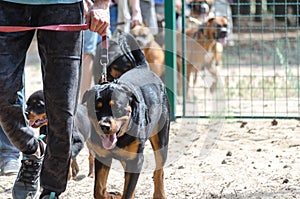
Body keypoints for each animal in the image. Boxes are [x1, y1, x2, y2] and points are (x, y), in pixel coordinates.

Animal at [83, 31, 170, 198]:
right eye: (96, 108)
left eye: (117, 107)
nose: (104, 126)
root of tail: (142, 68)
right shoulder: (102, 157)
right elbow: (99, 190)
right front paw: (111, 194)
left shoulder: (136, 160)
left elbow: (128, 191)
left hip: (161, 137)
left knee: (159, 171)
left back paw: (159, 194)